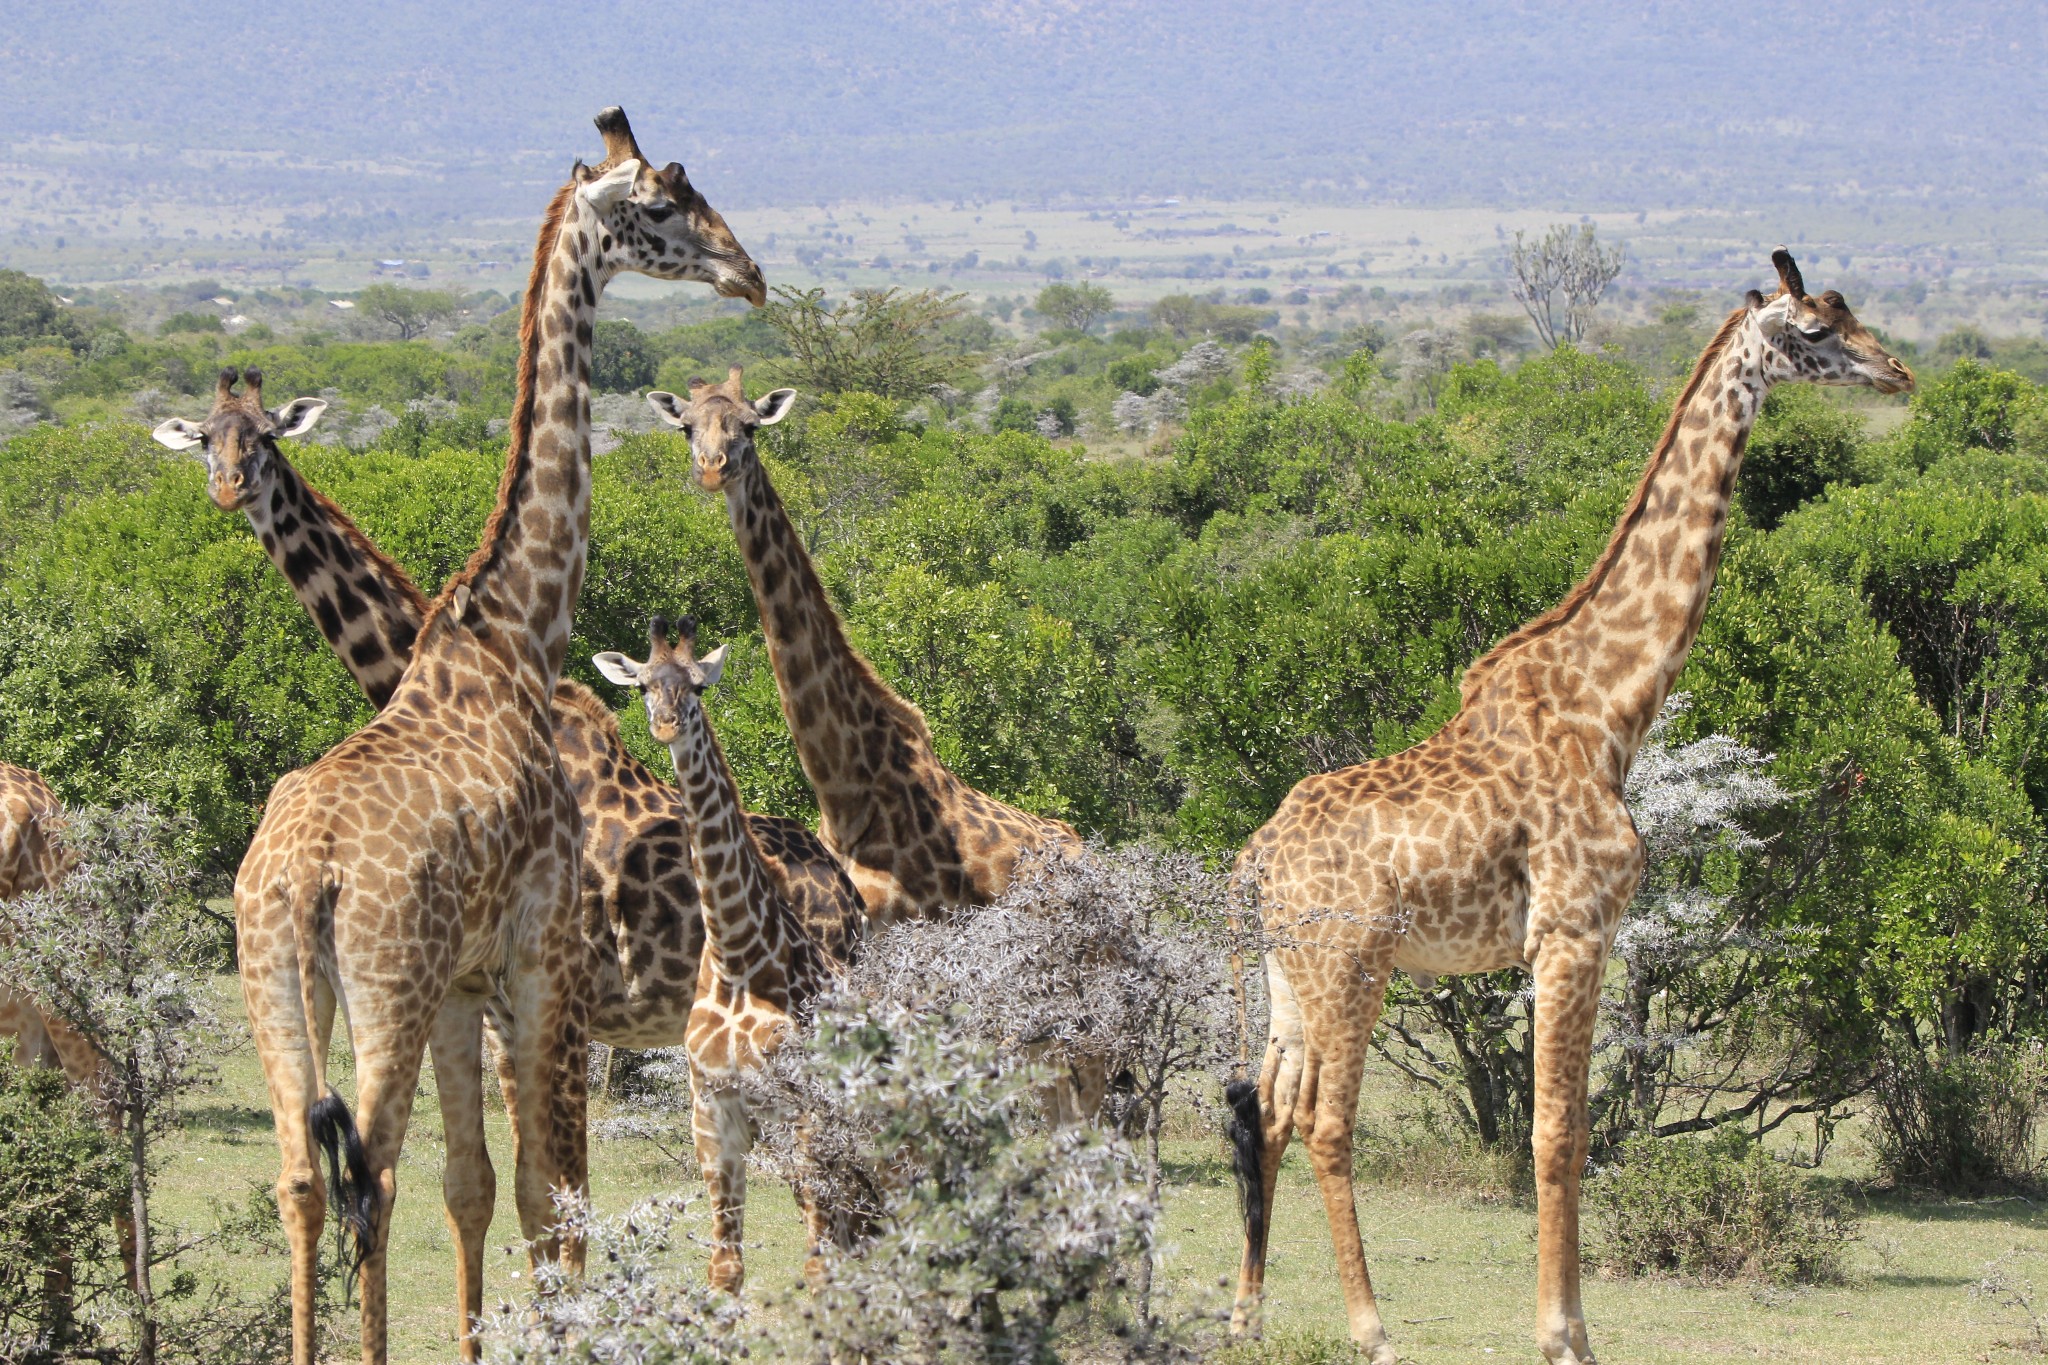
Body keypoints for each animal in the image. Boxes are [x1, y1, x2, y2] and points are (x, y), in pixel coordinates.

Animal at [224, 109, 765, 1365]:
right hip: (384, 982)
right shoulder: (533, 958)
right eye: (661, 205)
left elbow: (480, 1189)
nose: (748, 272)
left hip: (275, 977)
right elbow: (540, 1200)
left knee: (302, 1180)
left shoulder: (473, 983)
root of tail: (306, 874)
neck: (515, 627)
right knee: (368, 1172)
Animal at [589, 618, 860, 1293]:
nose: (667, 723)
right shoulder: (713, 1111)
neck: (739, 953)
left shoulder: (803, 1110)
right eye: (644, 685)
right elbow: (726, 1268)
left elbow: (816, 1265)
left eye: (698, 686)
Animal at [1228, 250, 1916, 1358]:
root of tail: (1254, 858)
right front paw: (1563, 1333)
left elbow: (1577, 1127)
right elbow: (1558, 1131)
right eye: (1813, 331)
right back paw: (1370, 1327)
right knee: (1330, 1124)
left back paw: (1247, 1312)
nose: (1897, 373)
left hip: (1289, 974)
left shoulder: (1586, 935)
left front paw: (1572, 1323)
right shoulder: (1570, 928)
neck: (1610, 708)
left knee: (1272, 1112)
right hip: (1350, 966)